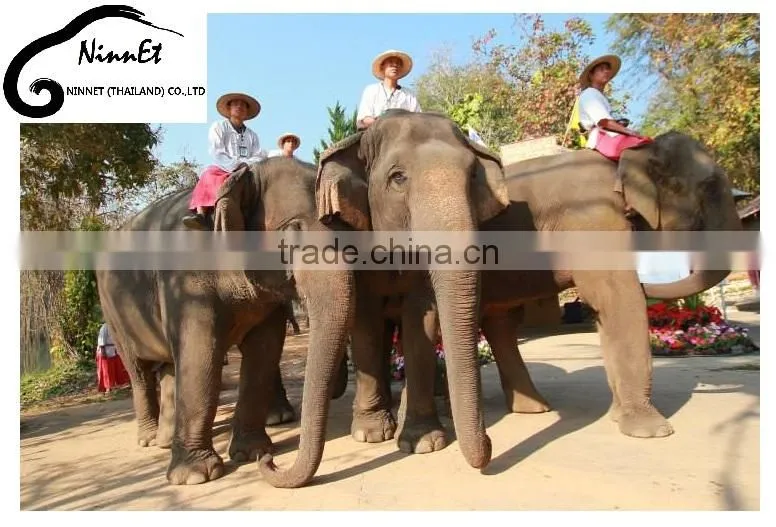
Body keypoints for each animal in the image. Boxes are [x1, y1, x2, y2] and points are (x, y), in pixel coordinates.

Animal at [96, 156, 350, 485]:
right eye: (292, 231)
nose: (271, 463)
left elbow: (264, 352)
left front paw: (253, 452)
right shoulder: (185, 280)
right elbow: (200, 354)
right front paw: (196, 476)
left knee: (169, 367)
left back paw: (165, 440)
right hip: (111, 313)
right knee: (138, 370)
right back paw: (149, 439)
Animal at [257, 109, 511, 488]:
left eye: (472, 176)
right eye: (398, 178)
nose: (491, 444)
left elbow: (422, 317)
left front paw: (424, 441)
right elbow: (364, 321)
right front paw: (371, 434)